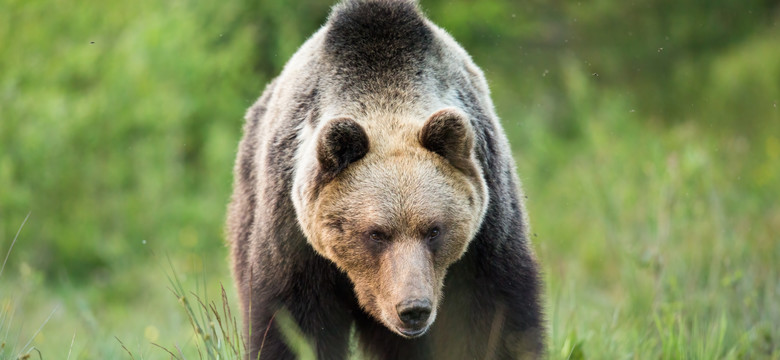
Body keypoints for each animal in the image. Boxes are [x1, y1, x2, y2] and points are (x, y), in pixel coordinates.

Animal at [225, 1, 544, 358]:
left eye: (435, 230)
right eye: (376, 233)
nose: (413, 309)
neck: (385, 93)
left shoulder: (486, 229)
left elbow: (494, 315)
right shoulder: (293, 234)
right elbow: (293, 322)